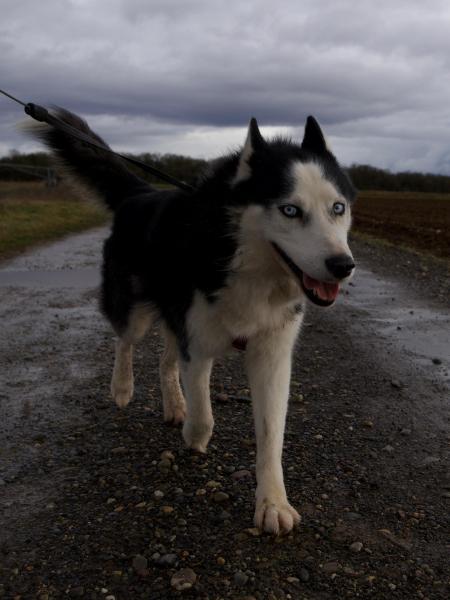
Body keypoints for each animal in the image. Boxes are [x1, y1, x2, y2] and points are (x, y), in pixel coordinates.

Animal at [28, 110, 356, 534]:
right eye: (290, 210)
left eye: (338, 208)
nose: (343, 266)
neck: (243, 258)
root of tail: (139, 194)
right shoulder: (197, 343)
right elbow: (204, 411)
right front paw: (195, 437)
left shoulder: (271, 354)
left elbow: (271, 434)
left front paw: (272, 503)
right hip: (136, 309)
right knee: (125, 341)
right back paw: (122, 387)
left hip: (174, 316)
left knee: (165, 360)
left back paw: (173, 403)